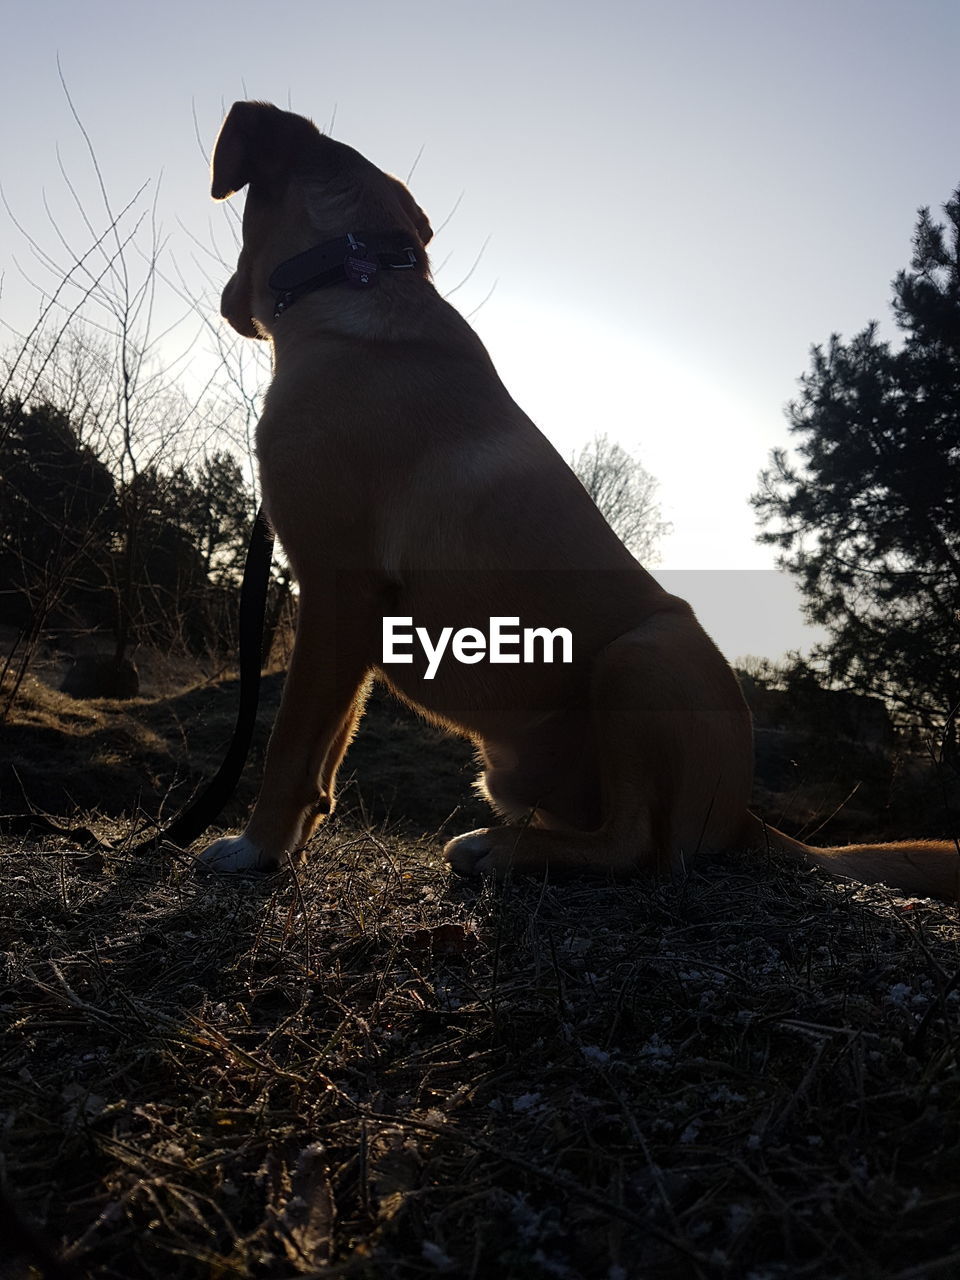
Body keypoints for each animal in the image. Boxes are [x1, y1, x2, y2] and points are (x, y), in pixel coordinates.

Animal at [199, 102, 957, 901]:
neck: (353, 275)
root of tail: (742, 816)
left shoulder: (336, 589)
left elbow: (289, 746)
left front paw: (255, 848)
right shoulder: (354, 621)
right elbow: (328, 751)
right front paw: (291, 843)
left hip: (642, 656)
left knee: (638, 848)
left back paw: (500, 850)